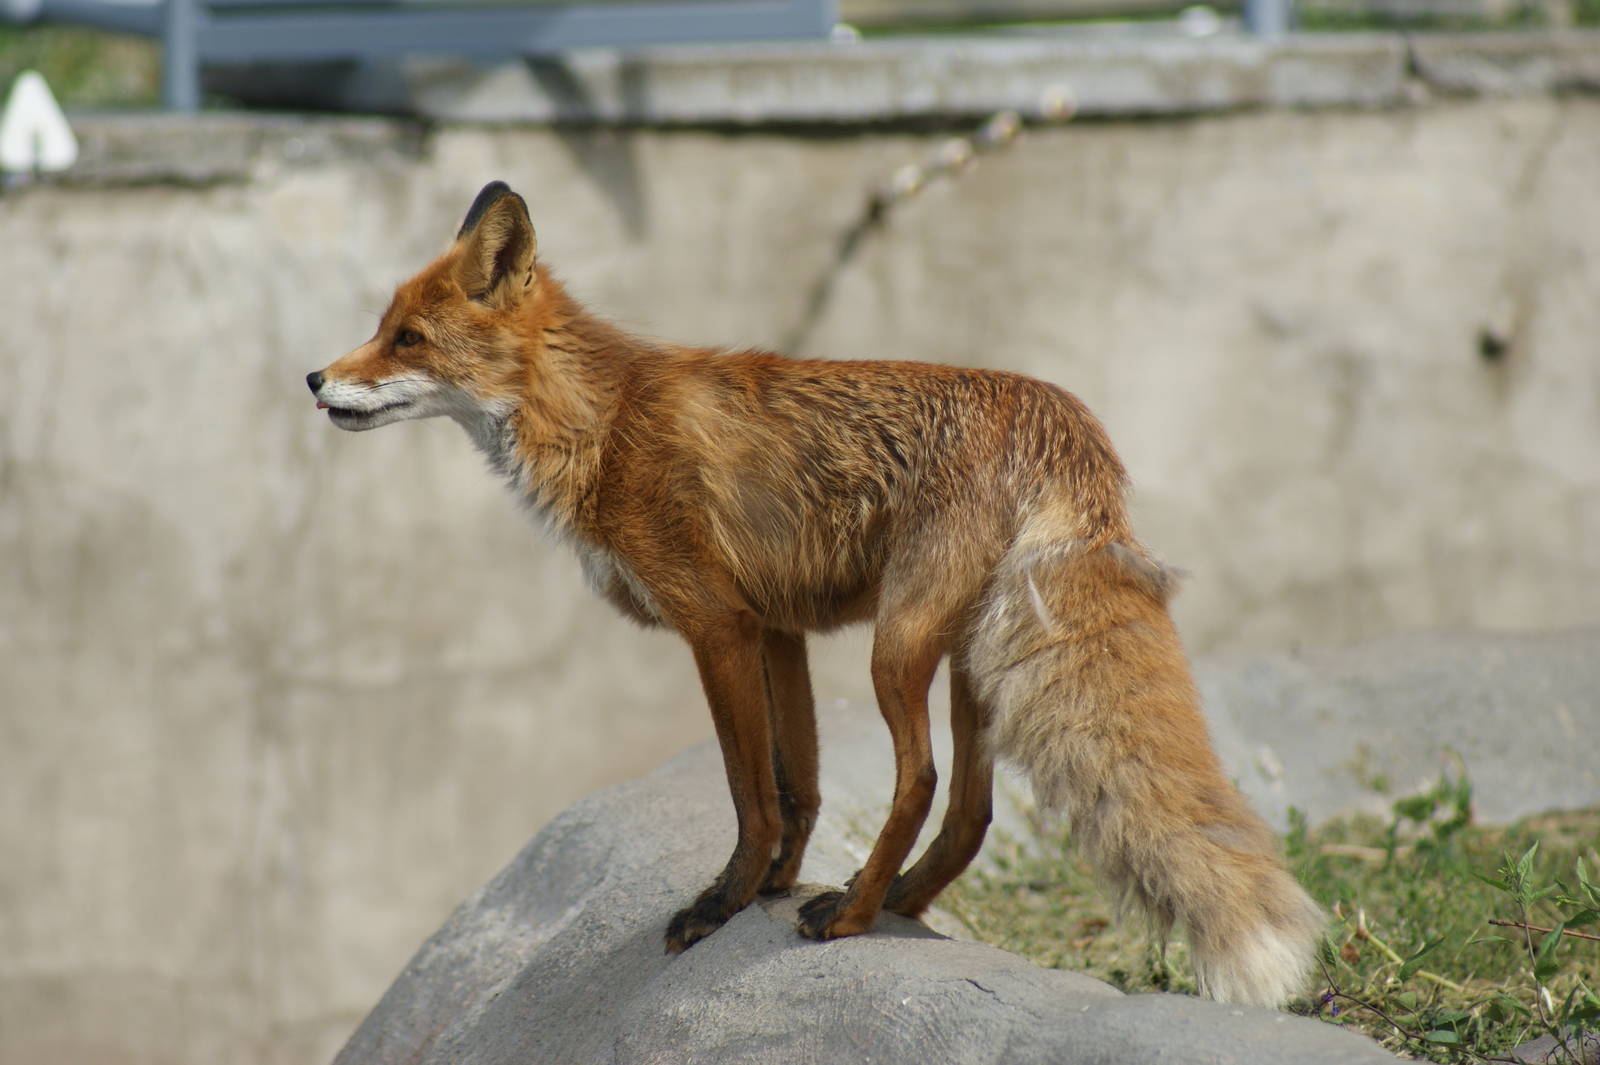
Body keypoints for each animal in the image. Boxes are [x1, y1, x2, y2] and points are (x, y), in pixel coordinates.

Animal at [306, 181, 1323, 1007]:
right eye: (380, 325)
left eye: (406, 339)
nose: (314, 378)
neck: (602, 421)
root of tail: (1063, 417)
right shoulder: (775, 628)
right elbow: (800, 788)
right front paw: (772, 885)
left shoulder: (716, 626)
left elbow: (750, 792)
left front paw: (721, 904)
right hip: (970, 657)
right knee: (971, 812)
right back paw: (896, 899)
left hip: (897, 647)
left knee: (921, 779)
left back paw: (854, 915)